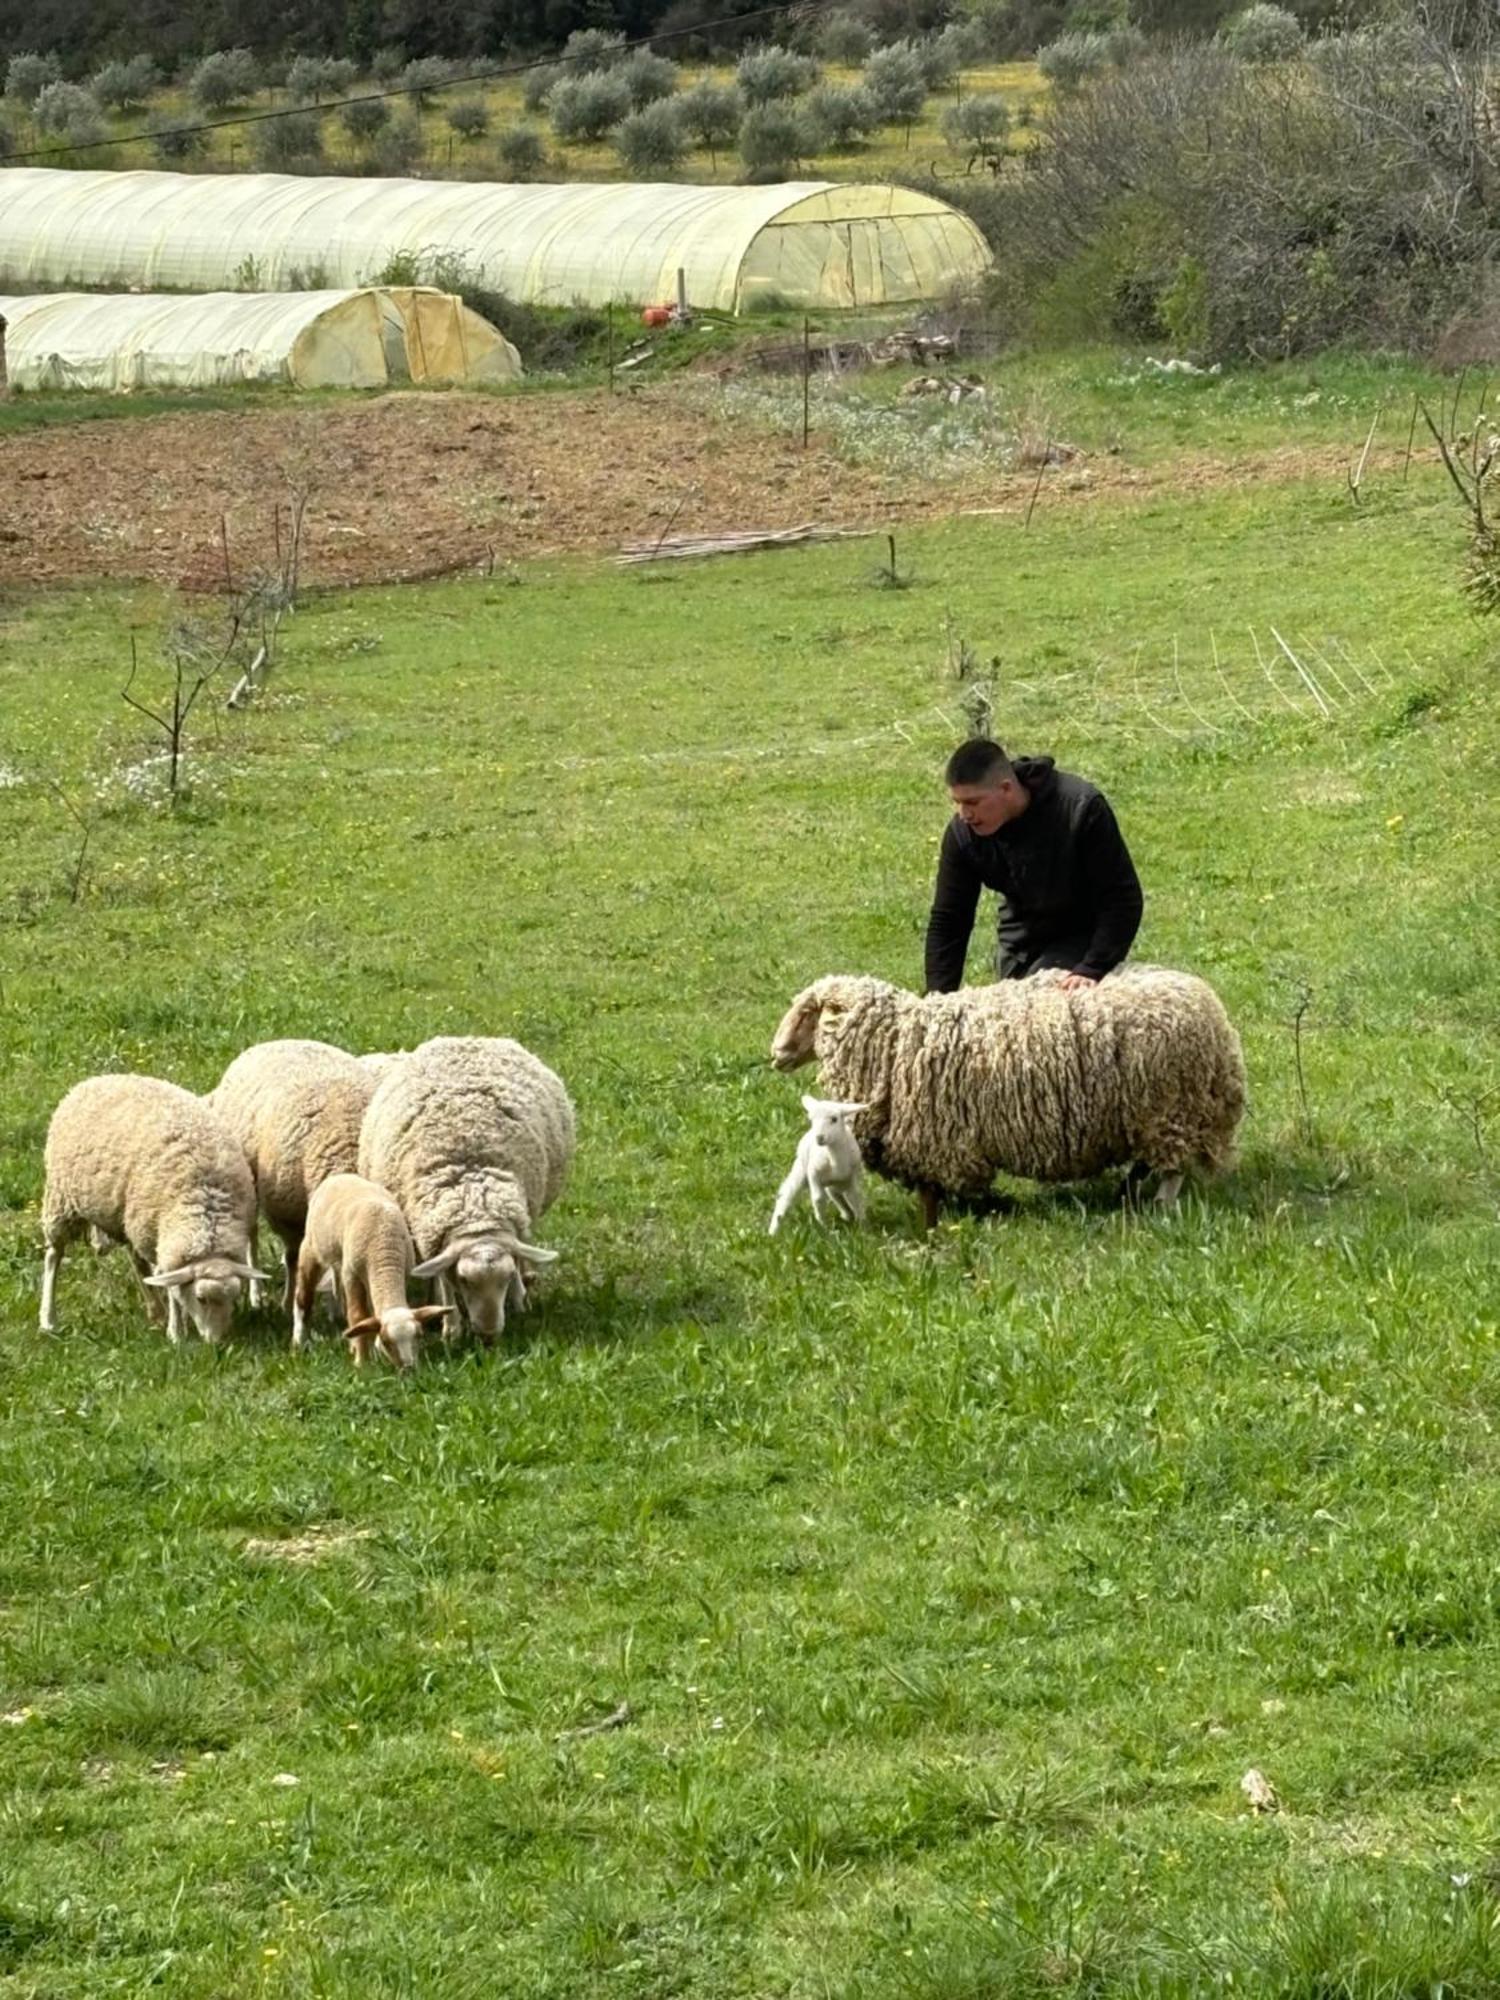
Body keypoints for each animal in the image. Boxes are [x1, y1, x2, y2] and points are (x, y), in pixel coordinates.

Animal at [39, 1072, 268, 1336]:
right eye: (201, 1299)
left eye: (233, 1297)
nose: (216, 1340)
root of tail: (96, 1079)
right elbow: (171, 1286)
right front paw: (176, 1332)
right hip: (62, 1202)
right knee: (53, 1256)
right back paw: (48, 1318)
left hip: (125, 1215)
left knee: (136, 1261)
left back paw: (154, 1308)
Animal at [206, 1048, 382, 1312]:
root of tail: (268, 1044)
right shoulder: (287, 1215)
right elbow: (293, 1258)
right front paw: (288, 1304)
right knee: (251, 1235)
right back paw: (256, 1294)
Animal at [294, 1168, 456, 1376]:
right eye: (387, 1342)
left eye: (419, 1335)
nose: (408, 1369)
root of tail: (340, 1176)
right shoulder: (352, 1275)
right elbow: (358, 1316)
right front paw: (362, 1361)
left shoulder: (400, 1273)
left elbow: (369, 1318)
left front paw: (367, 1349)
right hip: (313, 1248)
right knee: (303, 1297)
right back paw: (299, 1341)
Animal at [358, 1032, 576, 1344]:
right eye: (464, 1280)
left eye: (505, 1278)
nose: (488, 1336)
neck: (473, 1203)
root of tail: (469, 1038)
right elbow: (441, 1280)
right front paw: (451, 1328)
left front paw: (518, 1300)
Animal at [768, 964, 1248, 1224]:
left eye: (808, 1013)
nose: (775, 1054)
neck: (896, 1041)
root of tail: (1209, 1006)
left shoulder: (942, 1142)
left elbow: (938, 1189)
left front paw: (951, 1215)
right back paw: (1129, 1193)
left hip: (1173, 1111)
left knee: (1173, 1167)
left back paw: (1161, 1204)